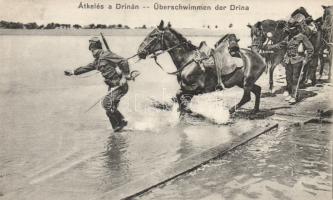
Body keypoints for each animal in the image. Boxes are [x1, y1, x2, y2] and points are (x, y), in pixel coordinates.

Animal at [136, 20, 264, 115]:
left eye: (153, 35)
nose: (140, 52)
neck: (188, 60)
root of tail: (260, 57)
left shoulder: (194, 88)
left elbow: (179, 95)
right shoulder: (187, 88)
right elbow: (180, 99)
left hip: (247, 81)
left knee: (247, 97)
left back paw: (229, 111)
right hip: (241, 82)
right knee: (257, 90)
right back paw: (255, 110)